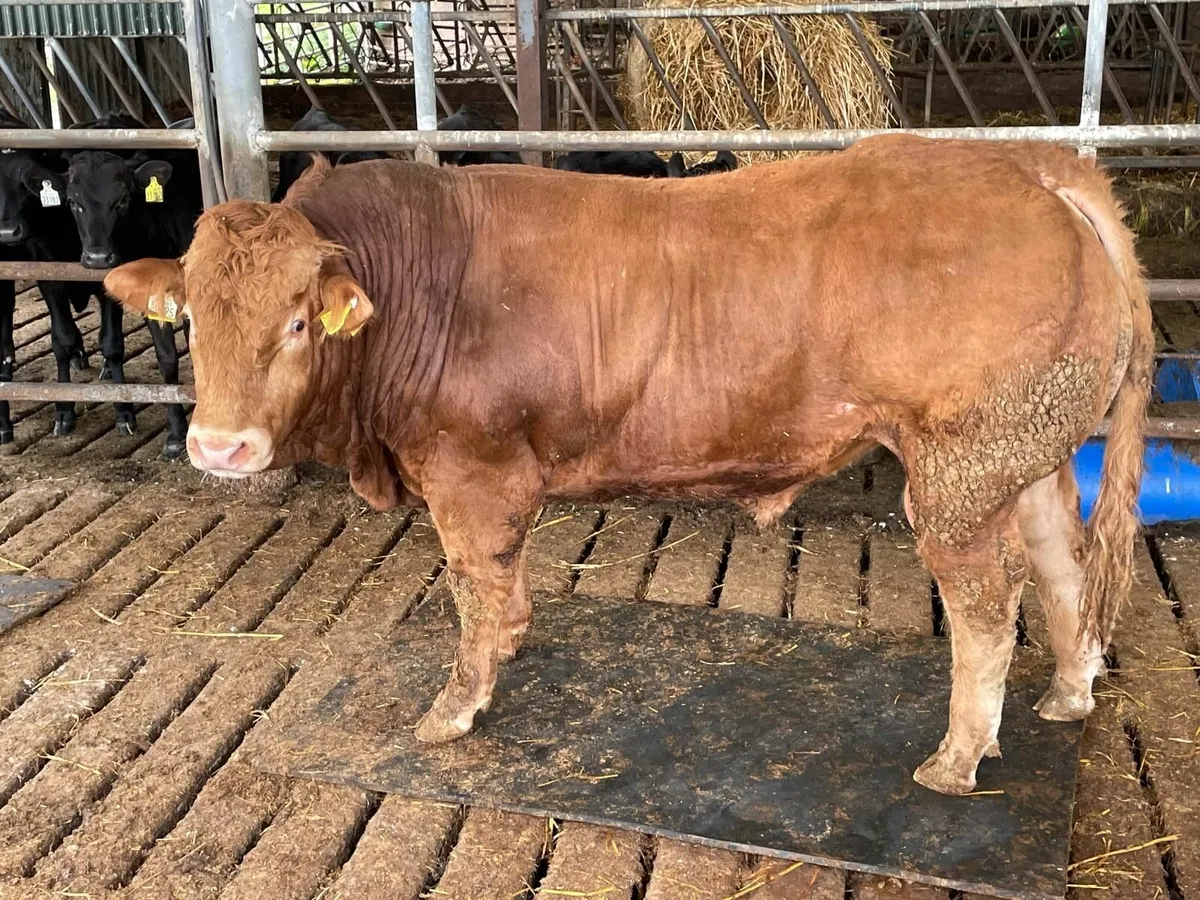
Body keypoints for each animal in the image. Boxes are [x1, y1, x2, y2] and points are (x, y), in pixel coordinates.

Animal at [102, 135, 1152, 796]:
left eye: (295, 322)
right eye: (190, 316)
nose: (220, 446)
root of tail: (1028, 162)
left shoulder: (470, 471)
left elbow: (474, 585)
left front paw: (456, 707)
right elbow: (506, 586)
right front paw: (511, 646)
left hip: (960, 466)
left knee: (987, 608)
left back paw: (957, 757)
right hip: (1028, 458)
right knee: (1063, 567)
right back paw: (1067, 695)